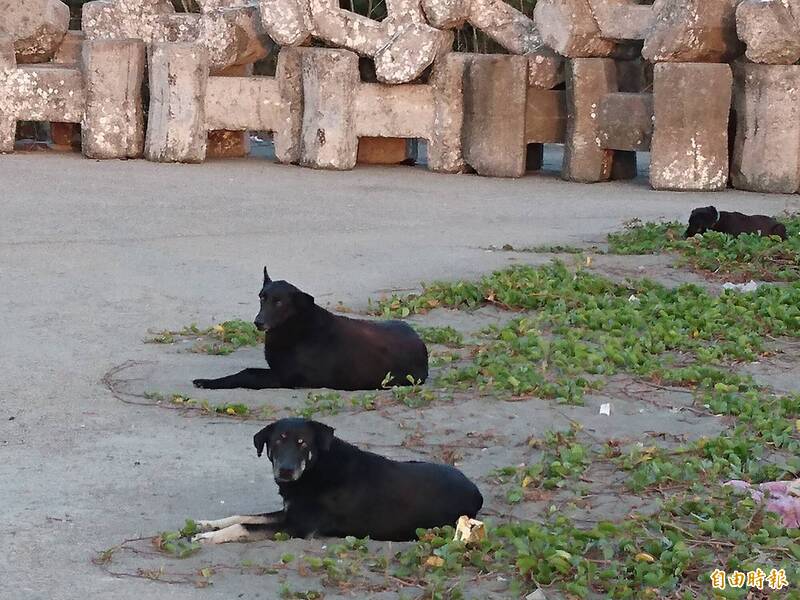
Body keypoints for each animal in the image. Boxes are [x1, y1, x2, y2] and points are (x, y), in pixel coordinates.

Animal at [192, 266, 432, 390]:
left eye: (279, 302)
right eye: (262, 297)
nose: (258, 322)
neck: (296, 325)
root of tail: (421, 346)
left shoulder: (285, 378)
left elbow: (246, 373)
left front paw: (209, 382)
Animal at [194, 418, 484, 544]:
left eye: (302, 443)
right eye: (277, 442)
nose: (285, 471)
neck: (315, 470)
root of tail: (476, 491)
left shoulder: (297, 526)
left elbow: (244, 525)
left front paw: (208, 536)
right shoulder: (289, 513)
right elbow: (242, 516)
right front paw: (207, 524)